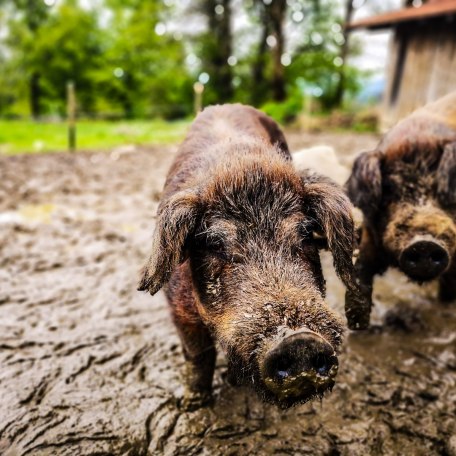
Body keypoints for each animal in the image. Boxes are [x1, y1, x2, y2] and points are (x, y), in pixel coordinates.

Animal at [137, 104, 366, 410]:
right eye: (214, 242)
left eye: (305, 232)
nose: (299, 340)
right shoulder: (178, 308)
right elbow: (199, 355)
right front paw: (193, 404)